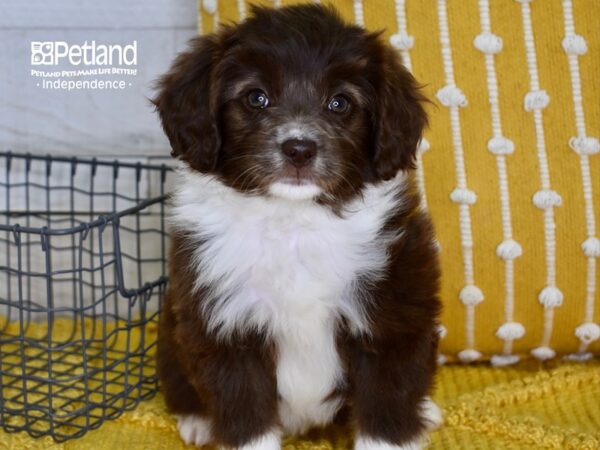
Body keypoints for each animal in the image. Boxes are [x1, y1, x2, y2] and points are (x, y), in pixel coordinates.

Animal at [155, 4, 440, 450]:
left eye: (340, 103)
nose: (299, 149)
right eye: (256, 98)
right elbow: (248, 420)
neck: (294, 221)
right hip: (171, 334)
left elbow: (387, 407)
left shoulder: (394, 314)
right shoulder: (225, 325)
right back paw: (199, 421)